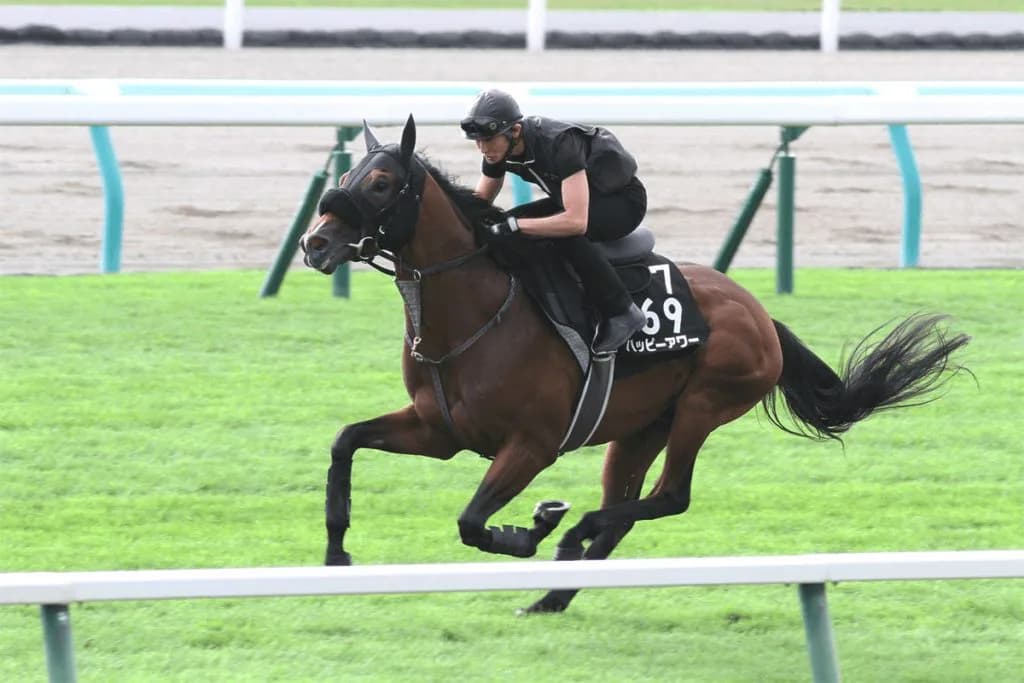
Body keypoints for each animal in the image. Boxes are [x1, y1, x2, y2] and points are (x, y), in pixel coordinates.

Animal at [298, 115, 969, 614]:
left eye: (381, 183)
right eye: (349, 172)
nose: (315, 243)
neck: (474, 311)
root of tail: (758, 312)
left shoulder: (533, 444)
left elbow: (471, 521)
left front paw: (532, 528)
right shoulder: (440, 431)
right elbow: (344, 440)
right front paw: (335, 556)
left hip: (704, 405)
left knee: (669, 496)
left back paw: (570, 532)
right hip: (642, 427)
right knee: (628, 509)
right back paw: (553, 594)